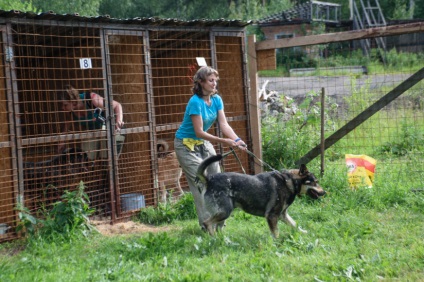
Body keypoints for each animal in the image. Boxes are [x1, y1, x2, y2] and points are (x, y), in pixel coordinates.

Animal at [197, 154, 326, 238]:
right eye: (315, 182)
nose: (324, 192)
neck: (289, 182)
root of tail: (209, 179)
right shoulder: (272, 216)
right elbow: (276, 233)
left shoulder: (283, 215)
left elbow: (294, 224)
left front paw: (302, 232)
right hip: (225, 211)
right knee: (207, 223)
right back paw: (214, 238)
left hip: (223, 213)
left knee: (214, 226)